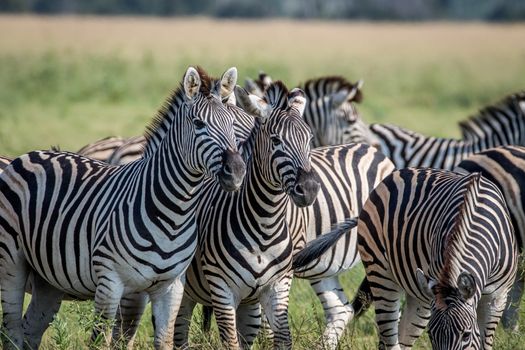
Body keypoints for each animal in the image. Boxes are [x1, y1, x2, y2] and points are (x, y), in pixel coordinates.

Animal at [0, 66, 248, 350]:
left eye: (231, 124)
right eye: (198, 124)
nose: (237, 172)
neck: (174, 212)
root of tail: (30, 154)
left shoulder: (171, 287)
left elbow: (162, 340)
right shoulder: (110, 283)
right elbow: (100, 340)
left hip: (48, 277)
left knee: (30, 329)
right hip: (12, 263)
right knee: (11, 330)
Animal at [352, 168, 516, 348]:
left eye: (466, 335)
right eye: (430, 335)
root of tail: (398, 172)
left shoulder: (497, 299)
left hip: (420, 296)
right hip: (380, 274)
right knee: (389, 337)